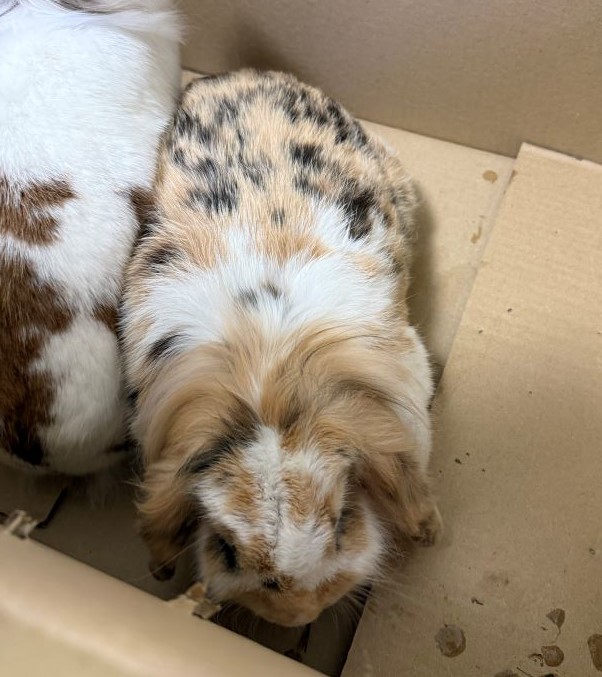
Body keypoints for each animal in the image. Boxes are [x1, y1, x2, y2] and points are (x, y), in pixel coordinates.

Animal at [122, 69, 442, 627]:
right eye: (226, 548)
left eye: (343, 520)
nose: (298, 617)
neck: (271, 397)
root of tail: (241, 75)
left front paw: (430, 529)